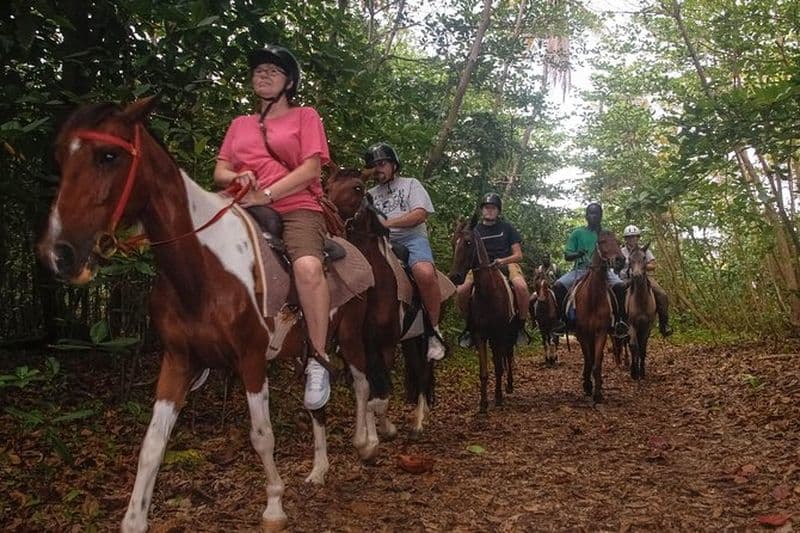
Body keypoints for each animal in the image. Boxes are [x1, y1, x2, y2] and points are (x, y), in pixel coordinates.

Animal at [37, 98, 374, 532]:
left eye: (108, 156)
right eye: (60, 157)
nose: (58, 254)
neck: (200, 270)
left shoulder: (251, 360)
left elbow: (261, 435)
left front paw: (274, 506)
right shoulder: (178, 361)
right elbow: (152, 445)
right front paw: (134, 519)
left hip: (348, 331)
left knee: (362, 381)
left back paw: (367, 443)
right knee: (318, 403)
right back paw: (319, 470)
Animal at [326, 167, 435, 437]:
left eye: (357, 188)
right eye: (327, 185)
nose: (327, 215)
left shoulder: (386, 344)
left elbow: (380, 396)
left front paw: (385, 429)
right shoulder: (361, 345)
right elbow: (369, 392)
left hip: (420, 337)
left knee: (423, 371)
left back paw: (418, 422)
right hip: (409, 340)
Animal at [449, 220, 516, 413]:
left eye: (468, 242)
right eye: (453, 243)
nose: (454, 276)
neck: (488, 294)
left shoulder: (498, 334)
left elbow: (499, 367)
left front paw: (499, 397)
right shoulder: (480, 335)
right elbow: (484, 372)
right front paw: (483, 404)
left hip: (509, 334)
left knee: (508, 355)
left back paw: (509, 386)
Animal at [572, 230, 624, 404]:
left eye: (618, 241)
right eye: (601, 242)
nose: (620, 260)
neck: (593, 298)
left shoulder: (601, 331)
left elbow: (597, 360)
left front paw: (598, 392)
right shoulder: (582, 332)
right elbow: (588, 358)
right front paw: (588, 386)